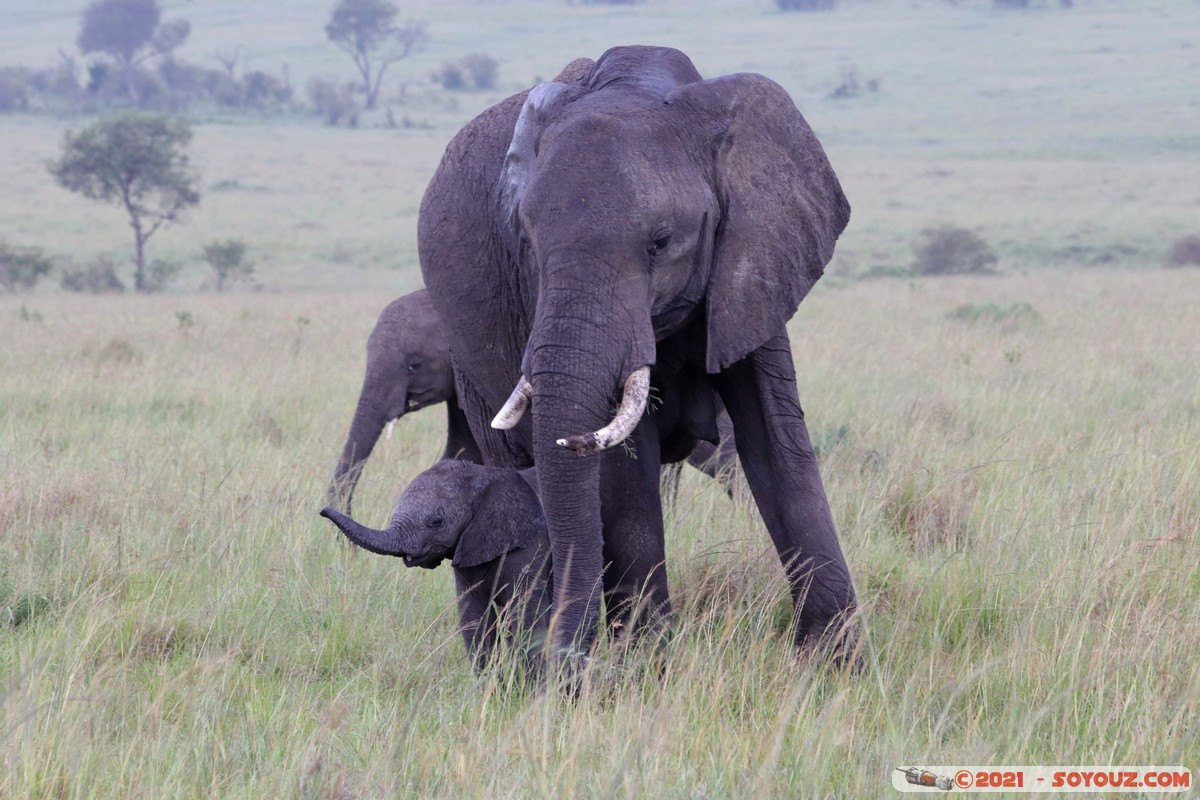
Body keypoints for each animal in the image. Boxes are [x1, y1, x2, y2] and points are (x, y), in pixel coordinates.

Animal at [314, 455, 549, 671]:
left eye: (436, 522)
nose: (322, 511)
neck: (485, 478)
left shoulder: (530, 548)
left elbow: (527, 616)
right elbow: (474, 619)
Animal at [417, 45, 859, 671]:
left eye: (660, 242)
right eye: (525, 242)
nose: (567, 662)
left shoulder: (755, 257)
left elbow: (777, 441)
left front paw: (835, 669)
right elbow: (625, 474)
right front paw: (647, 674)